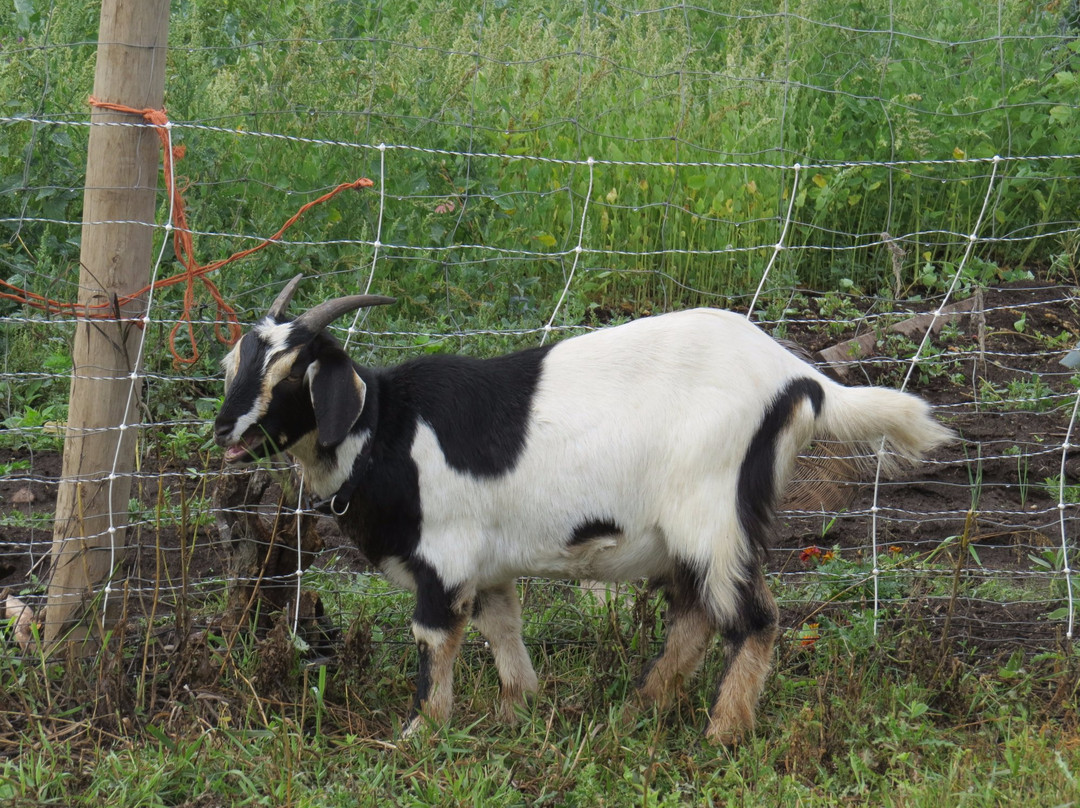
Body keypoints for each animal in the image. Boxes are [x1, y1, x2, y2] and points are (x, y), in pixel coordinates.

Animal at [212, 274, 954, 743]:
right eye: (233, 366)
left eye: (291, 376)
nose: (224, 431)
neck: (383, 432)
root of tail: (801, 379)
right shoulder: (488, 566)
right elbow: (502, 627)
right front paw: (515, 711)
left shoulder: (444, 559)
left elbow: (435, 640)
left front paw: (421, 732)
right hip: (697, 531)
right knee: (696, 614)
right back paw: (639, 710)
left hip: (711, 514)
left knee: (752, 618)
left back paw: (721, 733)